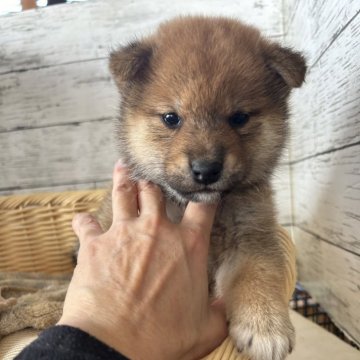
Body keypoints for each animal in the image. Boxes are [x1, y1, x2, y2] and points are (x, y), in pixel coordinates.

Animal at [97, 15, 306, 358]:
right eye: (171, 118)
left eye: (239, 118)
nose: (206, 170)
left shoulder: (253, 236)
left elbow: (258, 275)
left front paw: (265, 325)